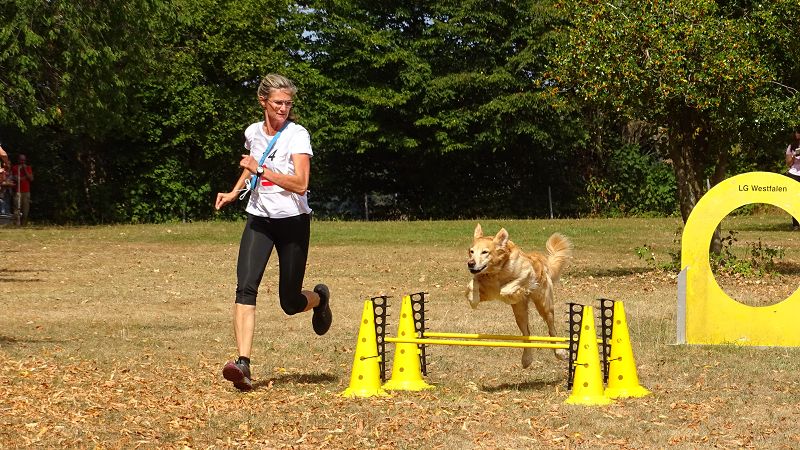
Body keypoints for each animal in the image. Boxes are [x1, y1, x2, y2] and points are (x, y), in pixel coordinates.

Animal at [466, 223, 572, 368]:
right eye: (471, 251)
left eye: (485, 252)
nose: (470, 263)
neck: (496, 272)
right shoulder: (484, 286)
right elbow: (473, 283)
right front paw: (473, 299)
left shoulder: (527, 273)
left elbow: (507, 288)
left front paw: (511, 294)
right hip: (520, 314)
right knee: (526, 334)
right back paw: (526, 359)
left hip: (545, 306)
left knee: (552, 330)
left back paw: (560, 353)